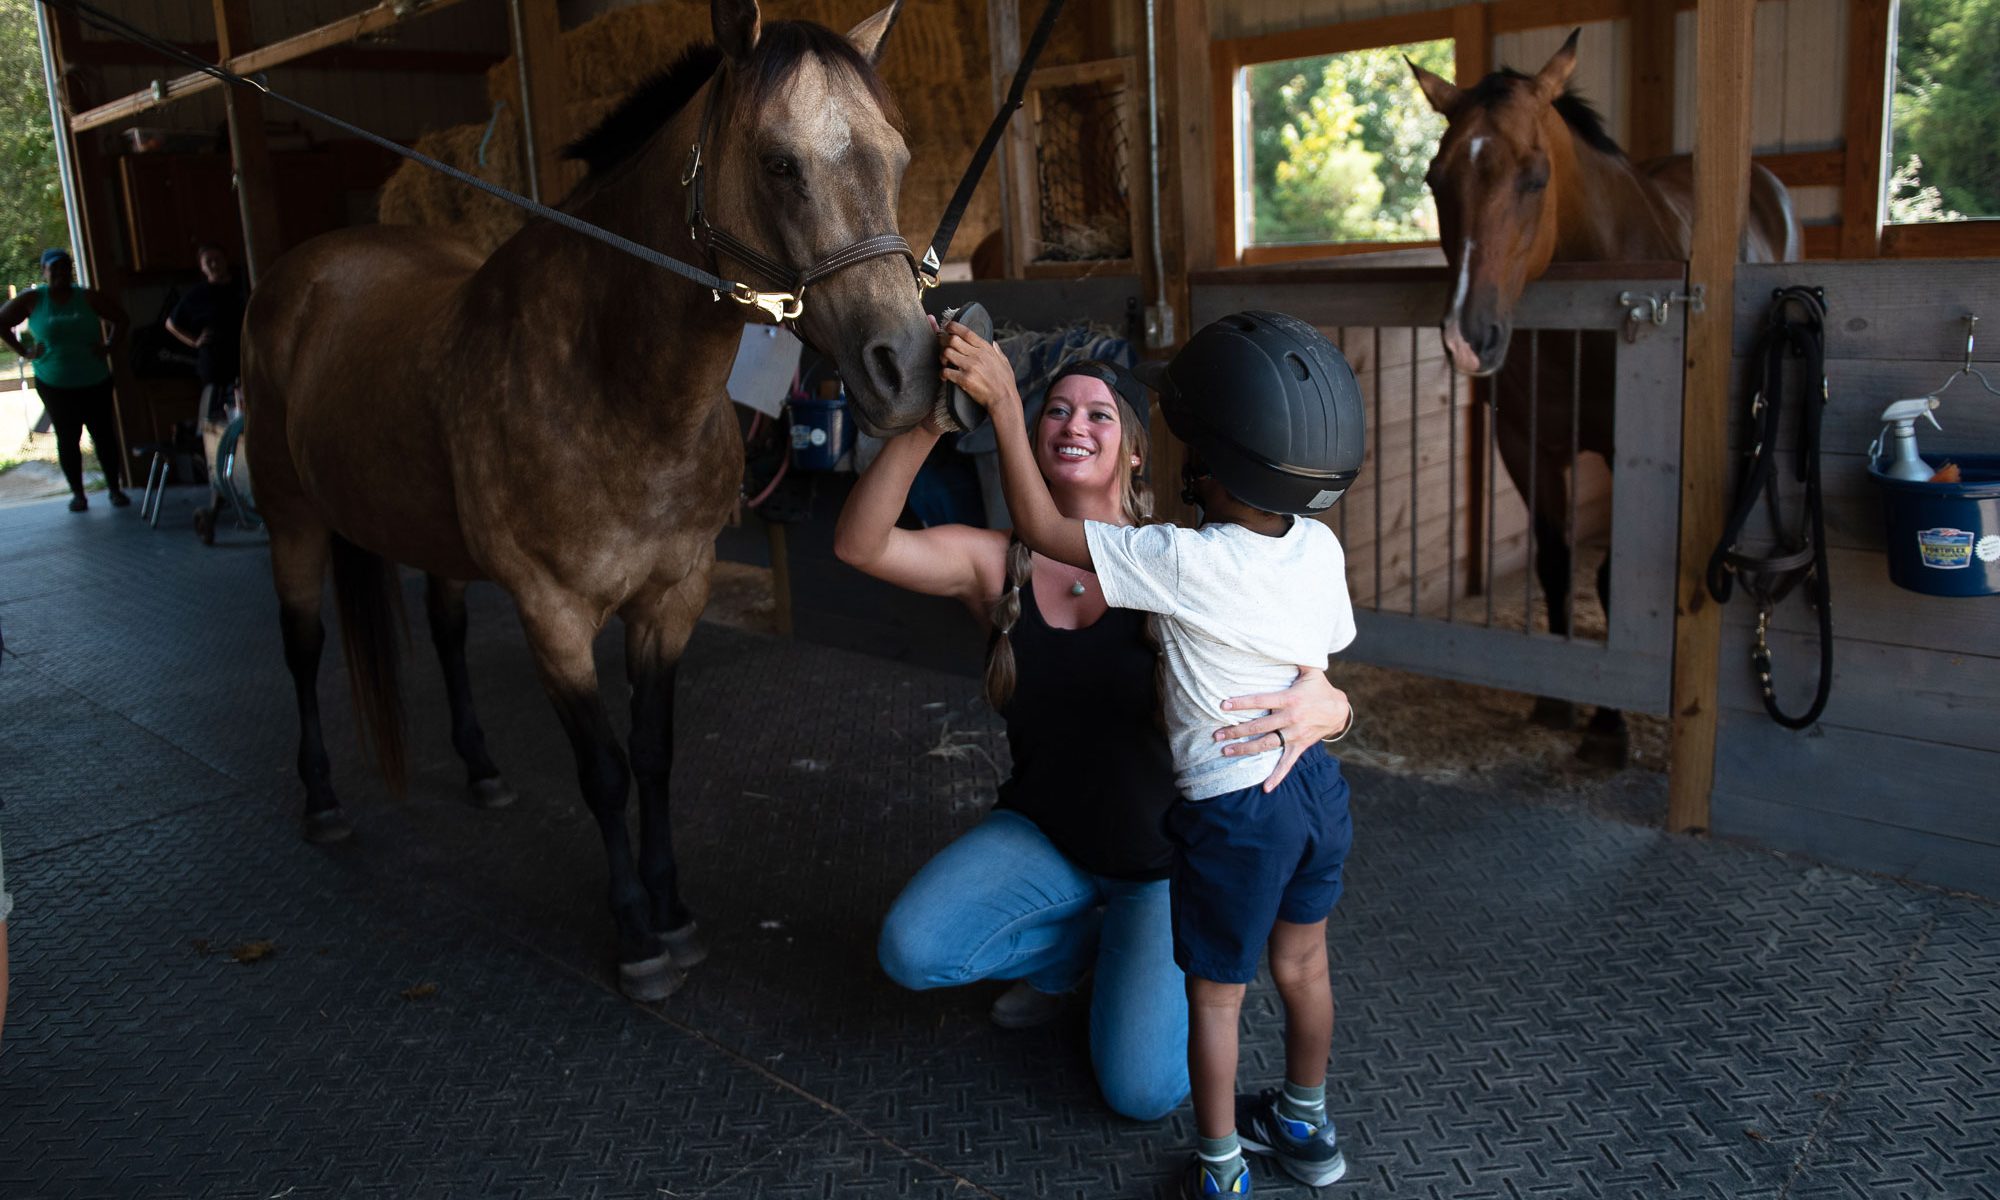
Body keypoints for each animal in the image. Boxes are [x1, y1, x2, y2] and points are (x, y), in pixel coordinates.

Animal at [242, 0, 928, 1000]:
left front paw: (673, 909)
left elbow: (653, 753)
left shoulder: (672, 596)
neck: (611, 378)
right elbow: (603, 769)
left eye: (899, 157)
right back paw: (323, 798)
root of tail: (306, 273)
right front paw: (637, 937)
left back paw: (482, 770)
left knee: (446, 630)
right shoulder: (554, 613)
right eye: (777, 162)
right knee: (301, 649)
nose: (906, 371)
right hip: (291, 522)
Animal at [1408, 35, 1800, 768]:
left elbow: (1613, 578)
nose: (1469, 338)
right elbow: (1557, 564)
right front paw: (1558, 698)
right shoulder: (1527, 447)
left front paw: (1608, 725)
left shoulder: (1628, 456)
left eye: (1535, 176)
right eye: (1434, 179)